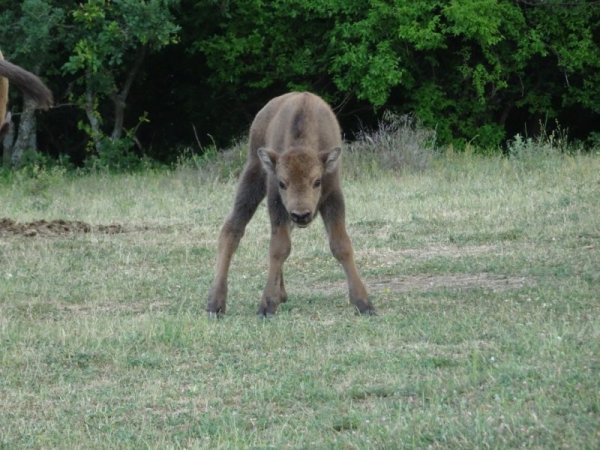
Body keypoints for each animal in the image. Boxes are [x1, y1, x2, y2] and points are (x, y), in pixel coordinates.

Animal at [209, 91, 372, 316]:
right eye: (282, 183)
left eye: (317, 181)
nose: (301, 214)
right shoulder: (276, 201)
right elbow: (279, 247)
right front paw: (266, 306)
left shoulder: (333, 196)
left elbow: (341, 245)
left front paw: (363, 303)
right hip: (252, 176)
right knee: (232, 229)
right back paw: (215, 303)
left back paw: (281, 294)